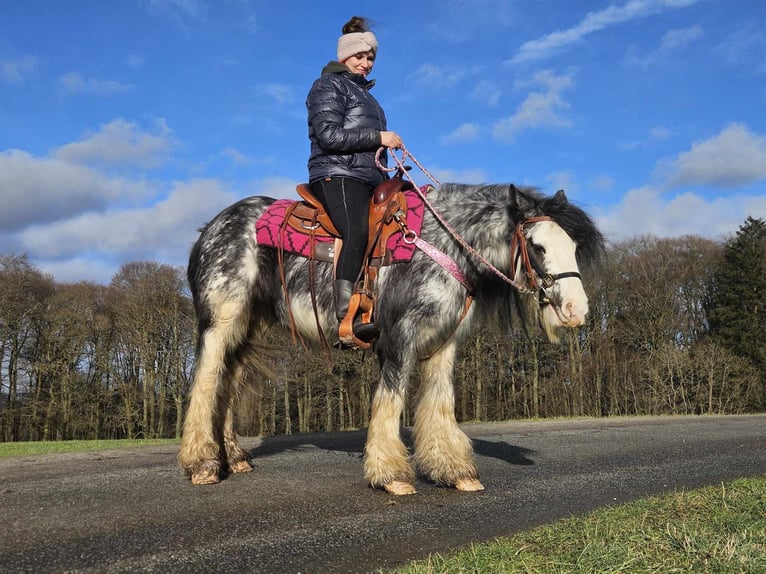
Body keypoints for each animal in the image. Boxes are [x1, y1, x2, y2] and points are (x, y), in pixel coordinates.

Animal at [180, 183, 608, 496]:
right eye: (537, 246)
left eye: (572, 246)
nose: (577, 311)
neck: (441, 246)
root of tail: (209, 230)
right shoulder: (399, 339)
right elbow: (391, 400)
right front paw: (391, 474)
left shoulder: (443, 344)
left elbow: (439, 402)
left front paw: (454, 470)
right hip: (221, 320)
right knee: (206, 380)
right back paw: (202, 464)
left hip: (247, 328)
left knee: (228, 381)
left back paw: (234, 457)